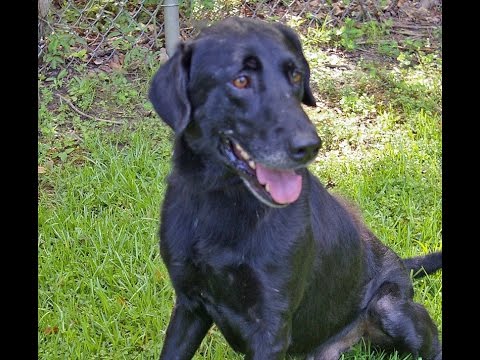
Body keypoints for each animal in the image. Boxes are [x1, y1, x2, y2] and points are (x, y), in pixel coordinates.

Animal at [147, 15, 442, 358]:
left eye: (296, 75)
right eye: (241, 81)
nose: (310, 146)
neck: (222, 202)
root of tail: (400, 265)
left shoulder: (271, 327)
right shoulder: (189, 305)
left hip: (391, 310)